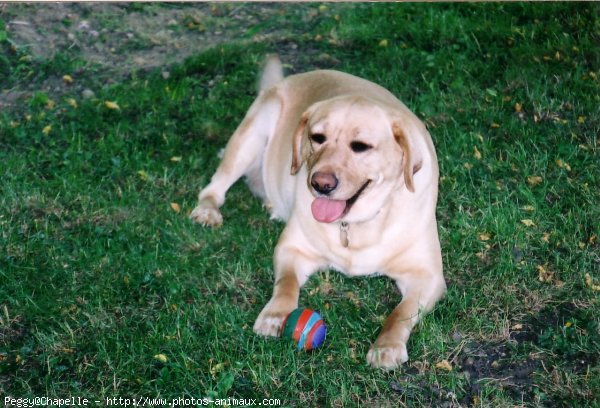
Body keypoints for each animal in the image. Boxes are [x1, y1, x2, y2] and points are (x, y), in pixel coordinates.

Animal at [190, 55, 448, 370]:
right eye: (317, 137)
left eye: (361, 147)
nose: (320, 184)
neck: (353, 224)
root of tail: (285, 80)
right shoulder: (291, 249)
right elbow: (286, 284)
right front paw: (275, 315)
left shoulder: (428, 276)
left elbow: (401, 313)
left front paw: (386, 347)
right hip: (252, 133)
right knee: (216, 185)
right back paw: (207, 210)